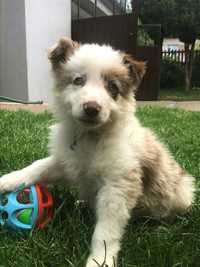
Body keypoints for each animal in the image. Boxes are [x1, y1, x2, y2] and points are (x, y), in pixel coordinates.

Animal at [0, 38, 194, 267]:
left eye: (112, 87)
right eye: (78, 80)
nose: (91, 108)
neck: (90, 136)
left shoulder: (117, 187)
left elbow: (105, 232)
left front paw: (100, 260)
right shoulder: (67, 161)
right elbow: (38, 166)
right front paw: (7, 180)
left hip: (180, 194)